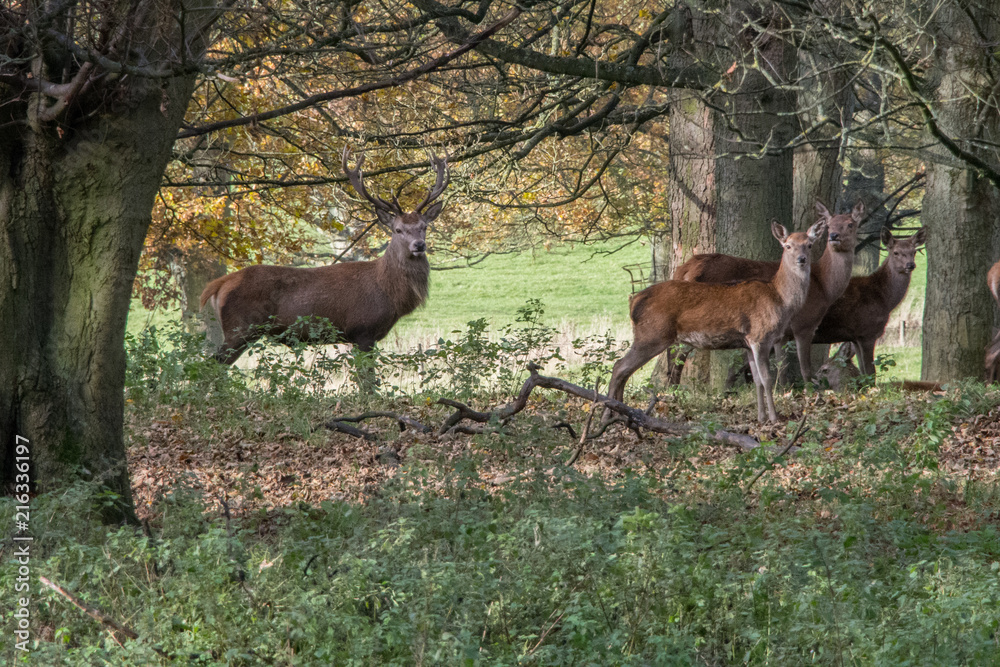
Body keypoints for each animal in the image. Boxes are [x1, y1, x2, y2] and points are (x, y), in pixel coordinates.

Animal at [199, 147, 450, 368]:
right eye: (398, 229)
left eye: (424, 227)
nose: (419, 245)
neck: (389, 293)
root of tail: (219, 284)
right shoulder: (362, 330)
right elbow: (367, 381)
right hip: (239, 329)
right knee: (212, 365)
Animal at [608, 218, 828, 422]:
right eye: (788, 245)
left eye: (809, 244)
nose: (801, 259)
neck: (779, 298)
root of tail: (633, 301)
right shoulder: (760, 336)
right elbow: (767, 378)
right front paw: (774, 418)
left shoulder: (748, 343)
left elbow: (757, 380)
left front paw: (761, 417)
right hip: (652, 335)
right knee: (619, 367)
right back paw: (609, 414)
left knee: (624, 370)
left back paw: (619, 413)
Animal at [672, 201, 868, 384]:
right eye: (829, 224)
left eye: (850, 224)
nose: (834, 236)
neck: (823, 287)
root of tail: (685, 269)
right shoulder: (804, 323)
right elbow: (805, 369)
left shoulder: (782, 334)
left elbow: (782, 368)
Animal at [812, 228, 928, 376]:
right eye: (895, 252)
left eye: (914, 252)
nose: (910, 265)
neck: (884, 300)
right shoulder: (867, 332)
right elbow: (870, 373)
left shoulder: (855, 337)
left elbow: (863, 372)